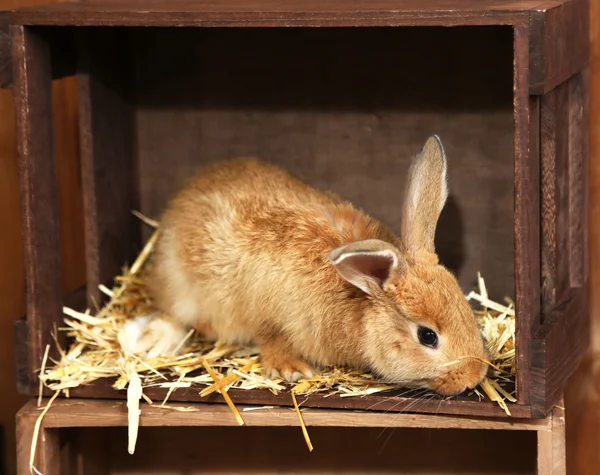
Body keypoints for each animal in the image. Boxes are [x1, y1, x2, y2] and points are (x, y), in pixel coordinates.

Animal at [130, 137, 488, 398]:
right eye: (427, 336)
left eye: (467, 310)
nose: (473, 377)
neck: (360, 300)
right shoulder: (269, 316)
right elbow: (271, 339)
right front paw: (291, 369)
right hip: (181, 287)